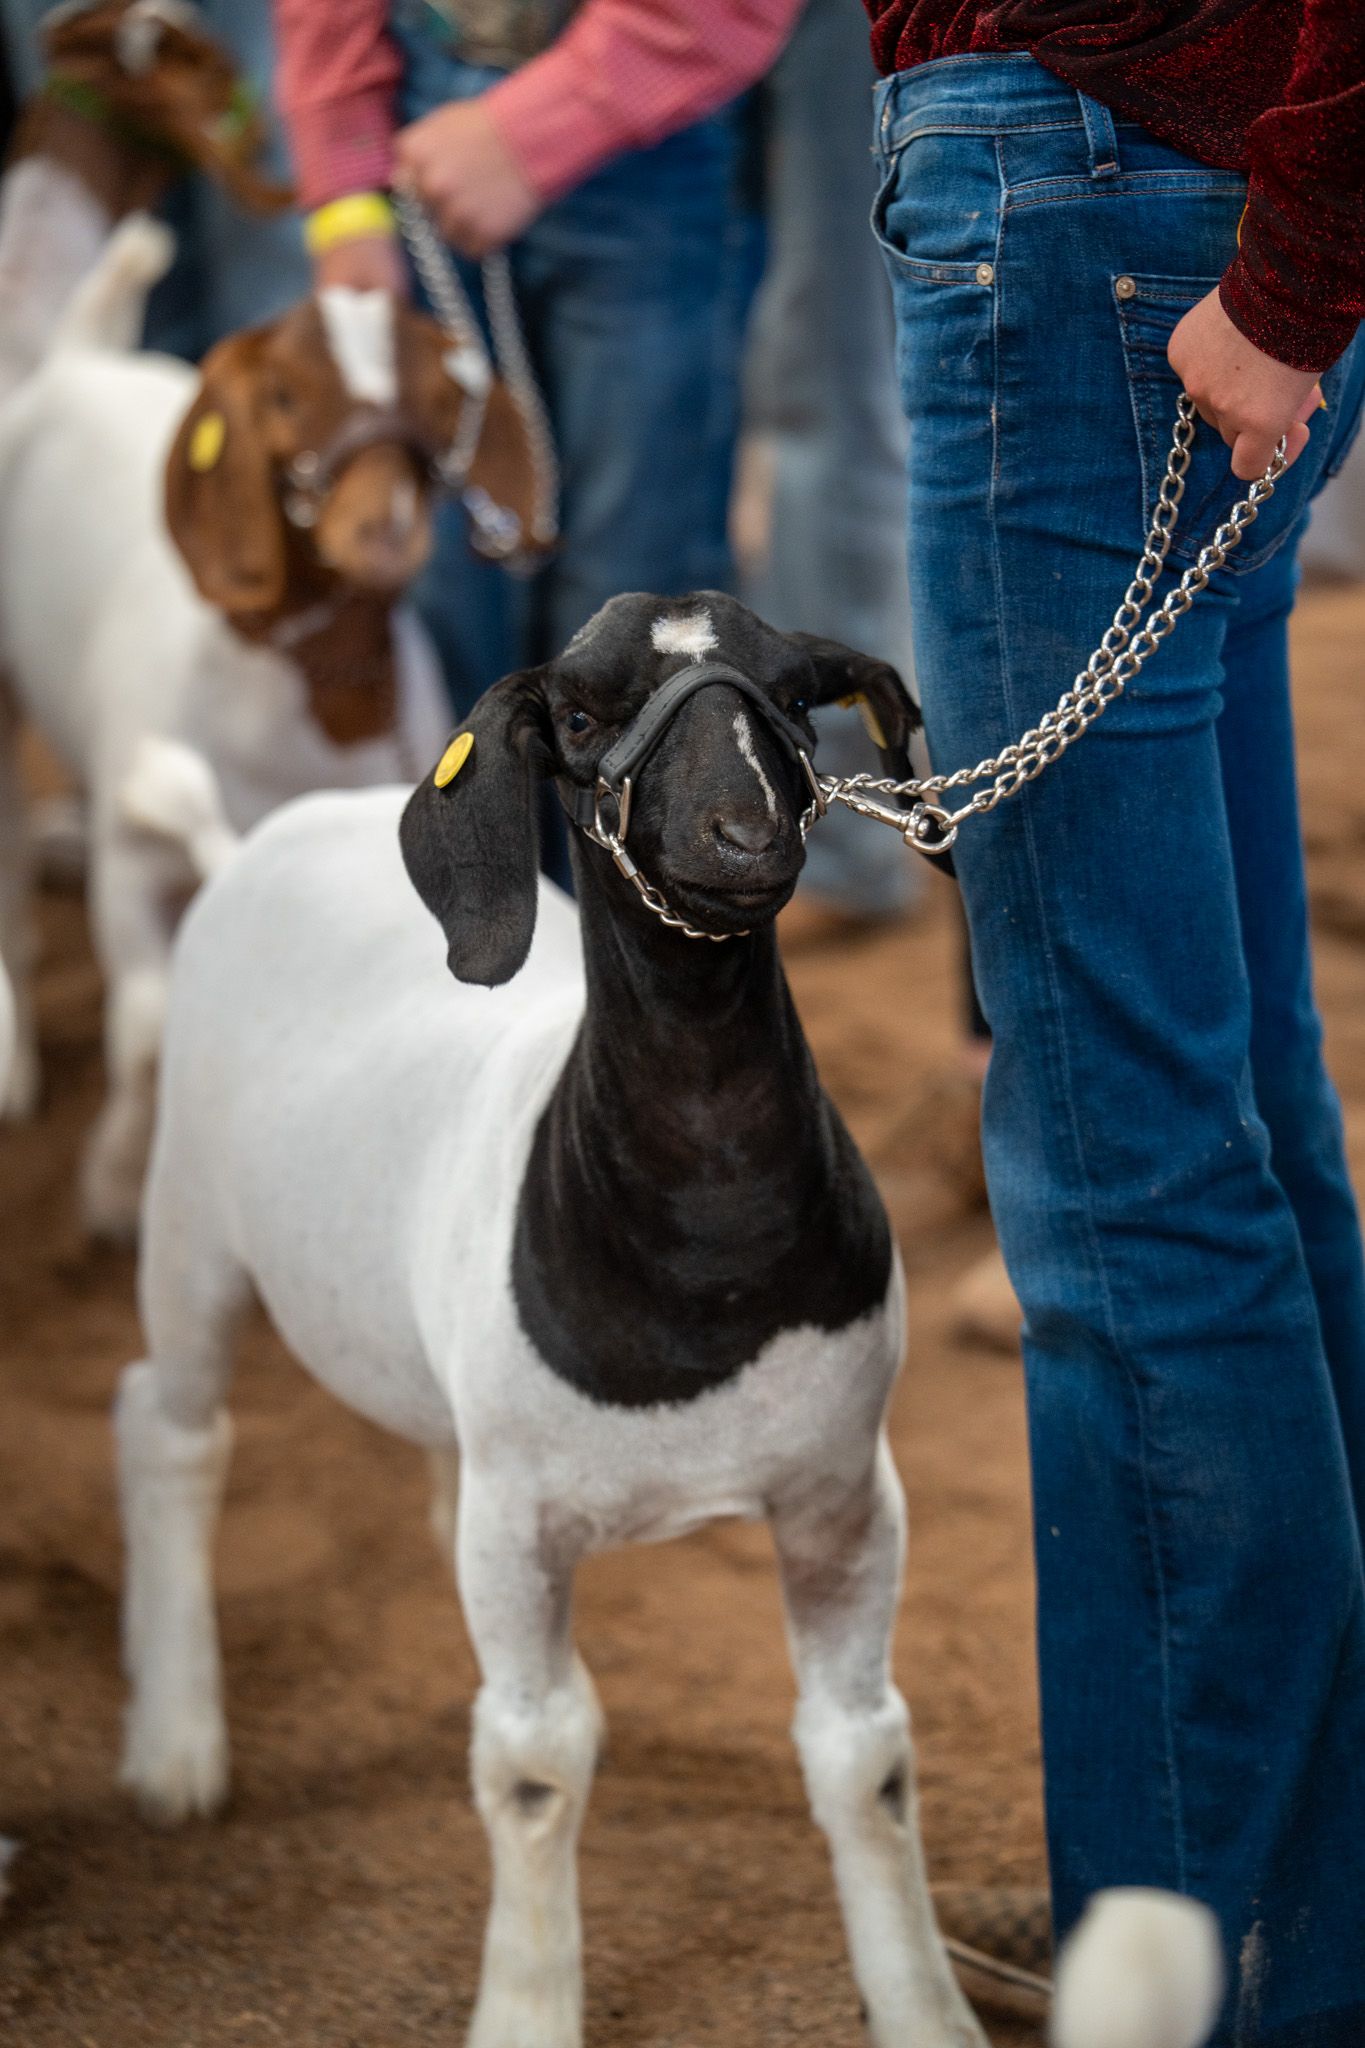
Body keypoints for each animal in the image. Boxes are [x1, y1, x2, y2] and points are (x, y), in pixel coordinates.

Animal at [0, 221, 536, 1235]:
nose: (382, 531)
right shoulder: (136, 857)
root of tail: (80, 356)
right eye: (284, 394)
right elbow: (145, 1023)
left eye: (438, 399)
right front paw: (112, 1189)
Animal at [114, 589, 995, 2047]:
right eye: (581, 716)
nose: (742, 837)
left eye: (790, 697)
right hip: (189, 1218)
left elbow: (862, 1753)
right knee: (168, 1428)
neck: (707, 1259)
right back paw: (177, 1745)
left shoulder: (841, 1489)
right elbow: (534, 1763)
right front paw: (527, 2007)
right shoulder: (525, 1521)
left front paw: (925, 2007)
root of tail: (267, 834)